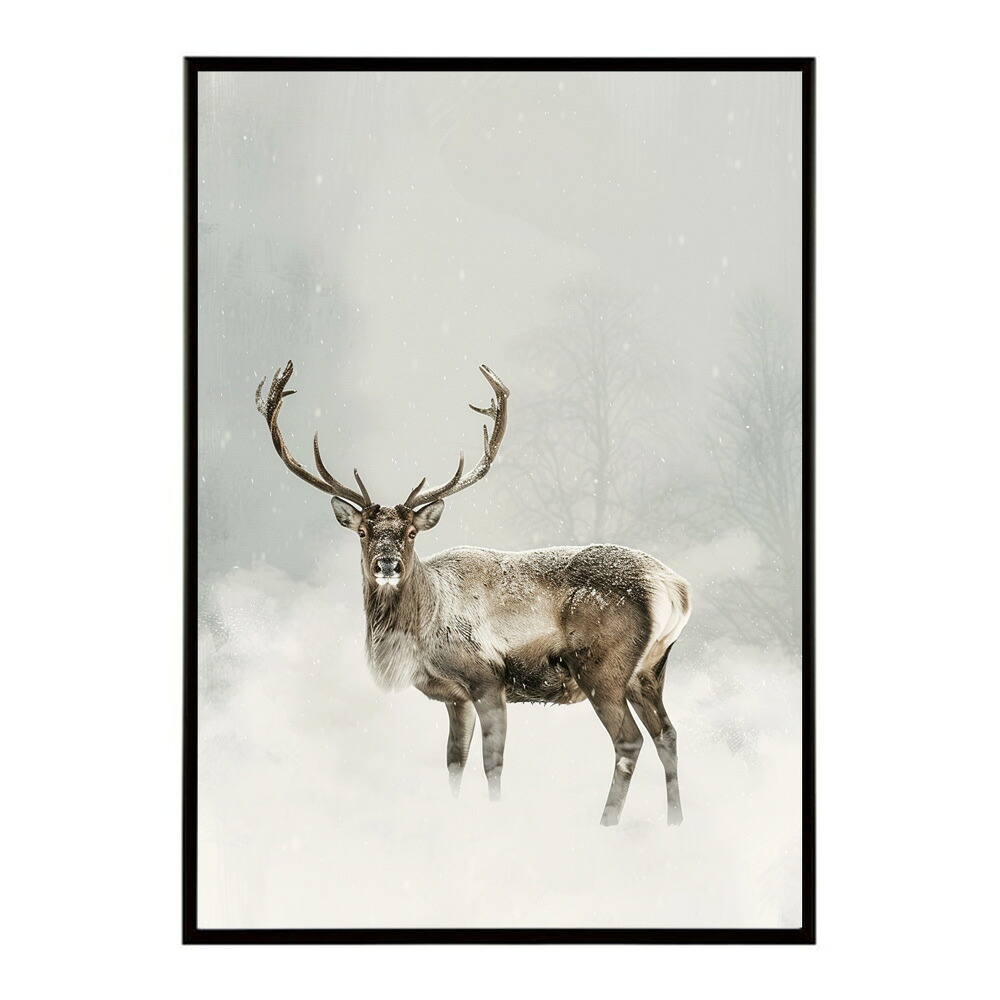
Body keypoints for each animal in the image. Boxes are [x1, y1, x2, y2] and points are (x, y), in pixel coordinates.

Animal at [255, 360, 691, 826]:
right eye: (363, 531)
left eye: (410, 533)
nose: (387, 564)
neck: (421, 637)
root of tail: (674, 587)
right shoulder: (454, 697)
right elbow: (454, 761)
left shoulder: (488, 680)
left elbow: (491, 763)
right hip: (651, 669)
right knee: (667, 734)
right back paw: (676, 822)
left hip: (602, 666)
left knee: (629, 740)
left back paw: (606, 822)